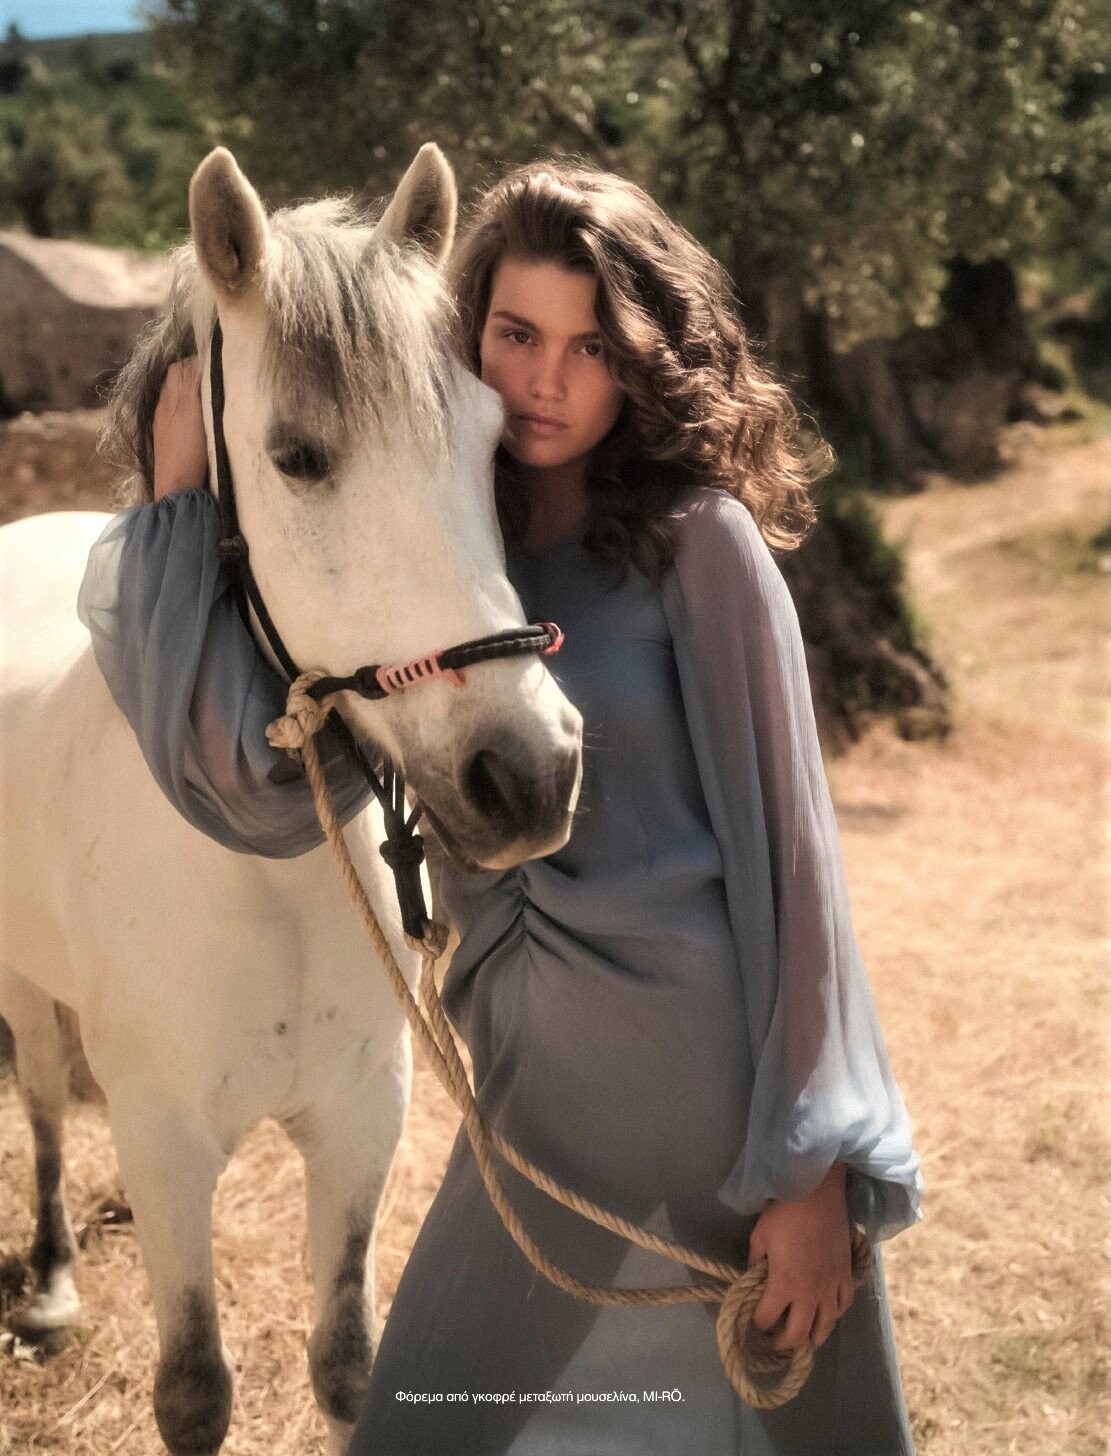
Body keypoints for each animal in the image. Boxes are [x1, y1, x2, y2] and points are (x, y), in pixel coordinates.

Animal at [0, 141, 582, 1455]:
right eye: (300, 455)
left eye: (493, 443)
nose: (527, 768)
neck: (253, 860)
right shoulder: (166, 1143)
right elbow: (193, 1390)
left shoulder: (363, 1119)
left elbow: (347, 1365)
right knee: (48, 1099)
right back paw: (52, 1277)